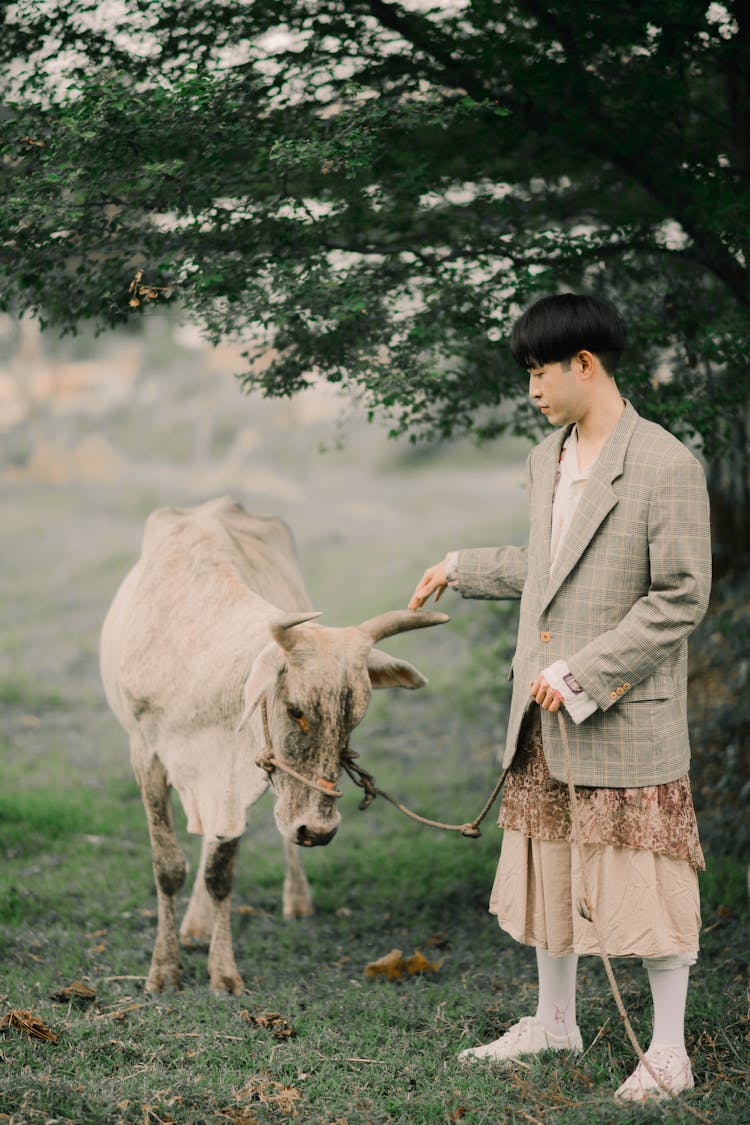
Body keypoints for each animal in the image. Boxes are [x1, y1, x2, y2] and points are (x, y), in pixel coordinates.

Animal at [99, 497, 445, 990]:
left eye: (356, 716)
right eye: (295, 709)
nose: (318, 831)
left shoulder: (233, 772)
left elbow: (220, 871)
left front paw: (223, 973)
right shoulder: (146, 754)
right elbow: (168, 867)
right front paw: (163, 971)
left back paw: (292, 900)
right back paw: (194, 925)